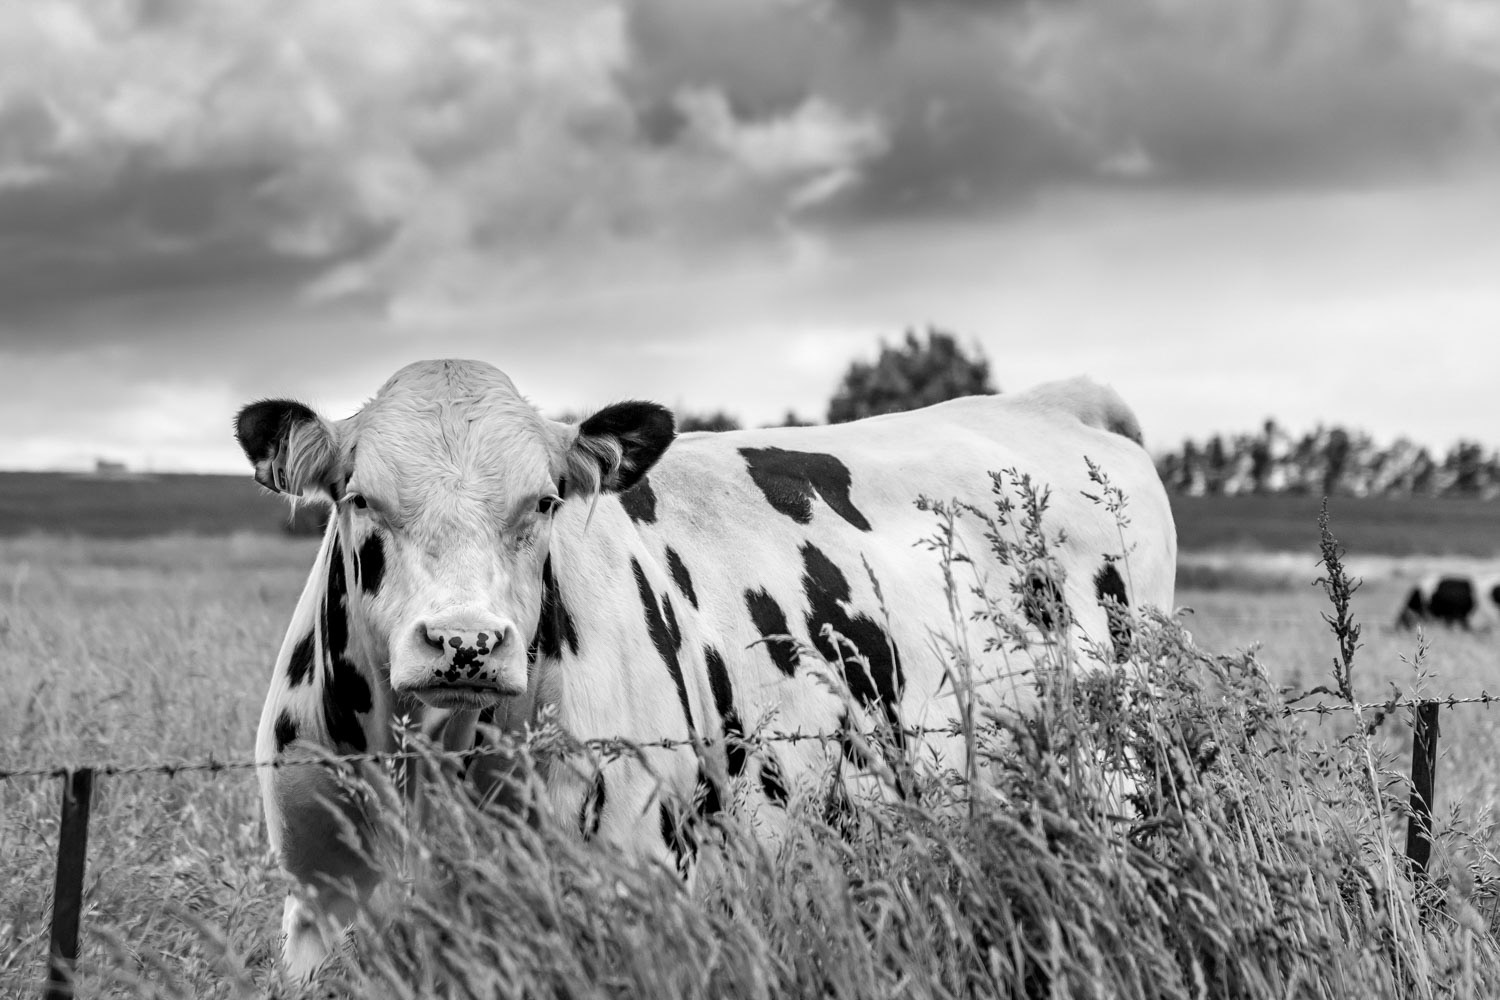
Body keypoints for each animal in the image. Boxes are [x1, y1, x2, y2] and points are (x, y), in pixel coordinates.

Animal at [234, 359, 1177, 979]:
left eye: (544, 503)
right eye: (359, 498)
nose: (465, 641)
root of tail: (1054, 402)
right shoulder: (319, 906)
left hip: (1116, 776)